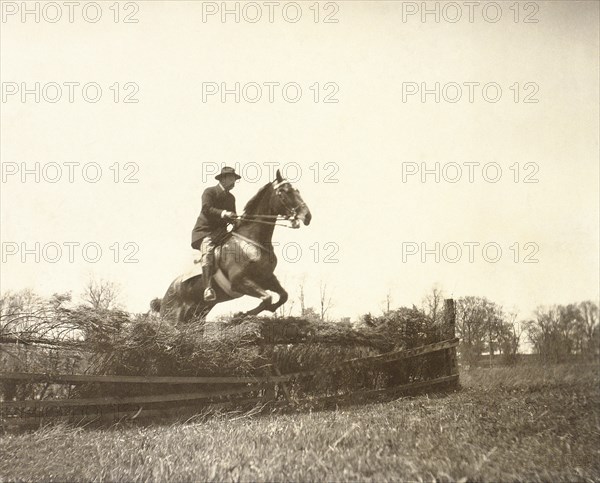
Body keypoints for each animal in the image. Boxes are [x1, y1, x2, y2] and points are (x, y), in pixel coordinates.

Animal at [152, 170, 312, 326]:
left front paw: (253, 313)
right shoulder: (239, 281)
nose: (307, 216)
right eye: (284, 192)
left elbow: (283, 296)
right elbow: (267, 297)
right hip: (173, 321)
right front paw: (239, 316)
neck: (252, 242)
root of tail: (164, 299)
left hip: (197, 318)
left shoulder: (266, 278)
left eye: (296, 190)